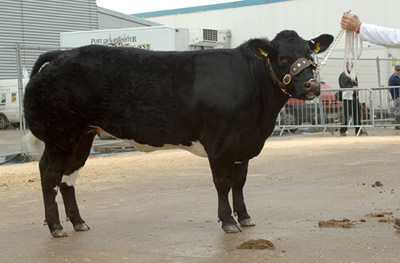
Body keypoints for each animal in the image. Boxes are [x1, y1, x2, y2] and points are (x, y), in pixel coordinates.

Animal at [23, 29, 332, 238]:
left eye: (310, 54)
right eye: (283, 57)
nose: (312, 86)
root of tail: (62, 54)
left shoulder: (244, 143)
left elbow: (240, 181)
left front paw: (244, 216)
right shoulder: (220, 142)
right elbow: (223, 183)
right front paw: (228, 221)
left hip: (83, 136)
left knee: (69, 177)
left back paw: (78, 222)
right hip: (61, 136)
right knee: (49, 174)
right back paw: (56, 227)